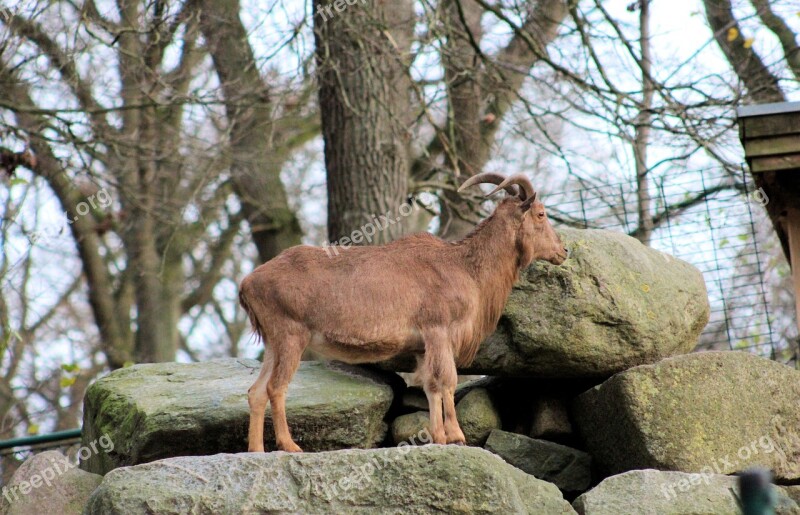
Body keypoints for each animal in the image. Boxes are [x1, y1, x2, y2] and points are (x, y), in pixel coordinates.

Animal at [239, 173, 568, 452]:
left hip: (274, 343)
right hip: (291, 335)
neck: (465, 267)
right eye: (540, 214)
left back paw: (256, 450)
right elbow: (446, 380)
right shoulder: (438, 330)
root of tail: (248, 282)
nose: (563, 251)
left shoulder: (423, 346)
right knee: (276, 388)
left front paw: (439, 437)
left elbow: (430, 386)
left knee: (256, 391)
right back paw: (289, 446)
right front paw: (455, 437)